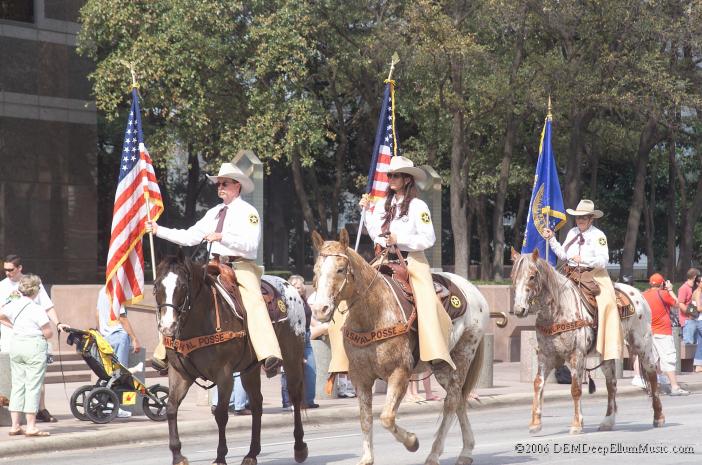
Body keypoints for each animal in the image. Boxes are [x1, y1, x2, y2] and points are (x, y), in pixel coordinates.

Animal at [155, 252, 310, 464]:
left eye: (183, 286)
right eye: (156, 286)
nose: (167, 327)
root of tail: (290, 287)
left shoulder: (224, 374)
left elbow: (220, 414)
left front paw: (220, 456)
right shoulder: (180, 373)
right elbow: (171, 408)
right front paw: (177, 455)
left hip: (292, 356)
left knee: (295, 395)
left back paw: (299, 447)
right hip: (251, 369)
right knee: (257, 403)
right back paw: (251, 453)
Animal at [310, 231, 492, 464]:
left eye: (340, 269)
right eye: (316, 270)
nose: (319, 309)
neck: (373, 314)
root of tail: (474, 291)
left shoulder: (400, 373)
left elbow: (386, 418)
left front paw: (412, 442)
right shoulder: (360, 377)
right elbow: (365, 418)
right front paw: (367, 458)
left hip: (462, 356)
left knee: (451, 401)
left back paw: (434, 454)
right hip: (442, 367)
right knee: (458, 398)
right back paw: (466, 450)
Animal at [512, 248, 664, 434]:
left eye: (532, 276)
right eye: (514, 276)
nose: (519, 309)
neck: (557, 311)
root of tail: (638, 294)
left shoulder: (576, 355)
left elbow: (576, 389)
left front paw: (577, 424)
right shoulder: (545, 356)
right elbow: (538, 384)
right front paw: (535, 423)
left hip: (642, 343)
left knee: (652, 373)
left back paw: (659, 417)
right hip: (607, 353)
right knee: (611, 384)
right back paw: (607, 421)